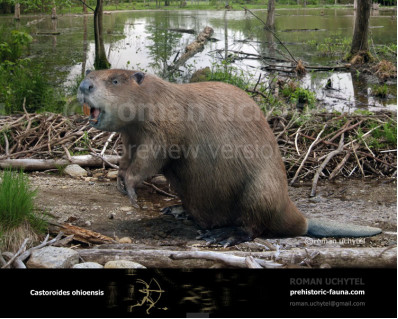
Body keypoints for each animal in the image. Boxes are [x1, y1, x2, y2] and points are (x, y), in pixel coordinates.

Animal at [77, 69, 380, 246]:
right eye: (91, 72)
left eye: (115, 80)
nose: (83, 85)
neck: (161, 97)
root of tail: (301, 220)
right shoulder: (131, 135)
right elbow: (127, 156)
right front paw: (119, 178)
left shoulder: (164, 127)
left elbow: (151, 159)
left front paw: (129, 189)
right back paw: (177, 210)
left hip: (259, 190)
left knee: (254, 226)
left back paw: (220, 236)